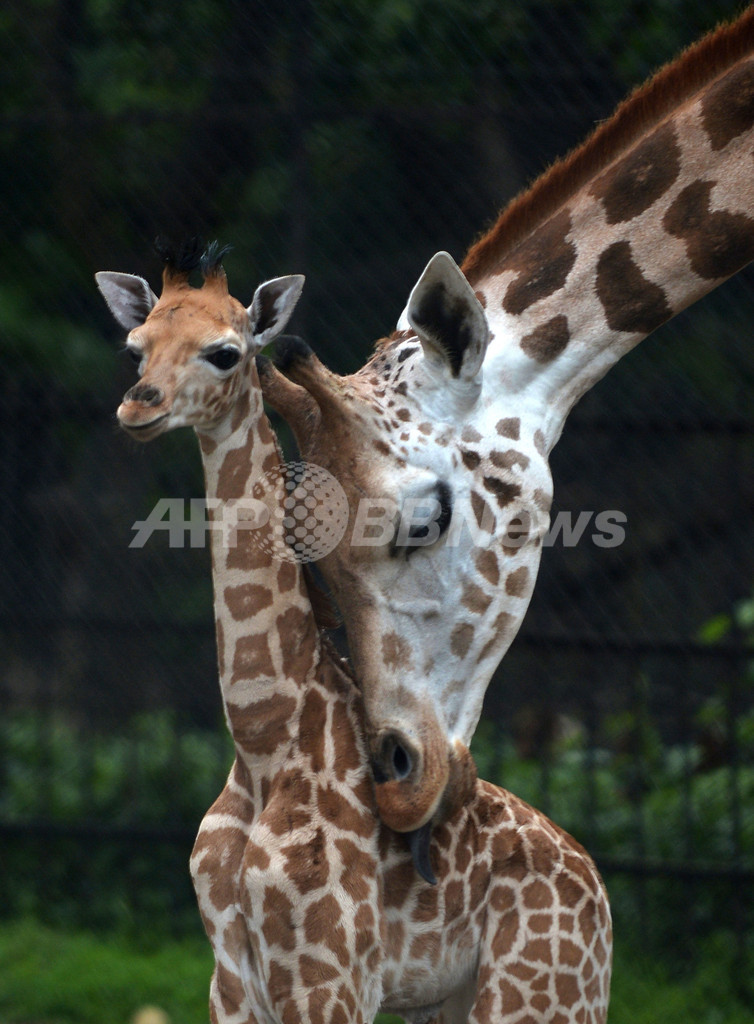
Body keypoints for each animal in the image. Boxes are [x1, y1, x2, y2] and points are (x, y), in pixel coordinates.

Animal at [95, 243, 614, 1024]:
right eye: (136, 347)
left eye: (225, 351)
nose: (139, 406)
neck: (265, 741)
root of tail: (602, 896)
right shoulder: (230, 981)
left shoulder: (329, 977)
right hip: (449, 1002)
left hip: (541, 995)